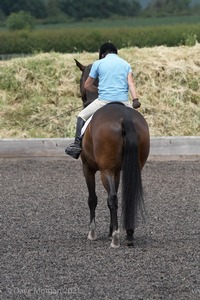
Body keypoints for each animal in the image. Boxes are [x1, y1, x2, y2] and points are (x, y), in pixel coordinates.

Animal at [74, 59, 149, 248]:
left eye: (80, 80)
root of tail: (125, 119)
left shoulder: (88, 168)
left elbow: (93, 199)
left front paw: (93, 233)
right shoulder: (116, 171)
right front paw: (109, 230)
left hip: (105, 170)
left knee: (113, 198)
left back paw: (116, 238)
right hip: (133, 167)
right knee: (126, 197)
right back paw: (128, 234)